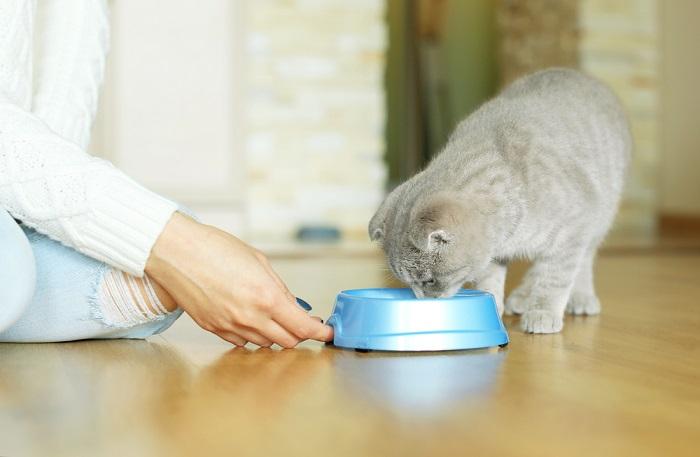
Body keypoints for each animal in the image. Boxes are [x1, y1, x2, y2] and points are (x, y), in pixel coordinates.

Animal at [370, 67, 632, 332]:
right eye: (408, 282)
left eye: (429, 280)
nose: (422, 301)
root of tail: (579, 73)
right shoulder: (494, 254)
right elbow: (490, 280)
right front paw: (493, 306)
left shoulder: (574, 229)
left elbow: (555, 277)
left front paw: (543, 311)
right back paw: (523, 296)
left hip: (600, 218)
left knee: (583, 261)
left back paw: (580, 297)